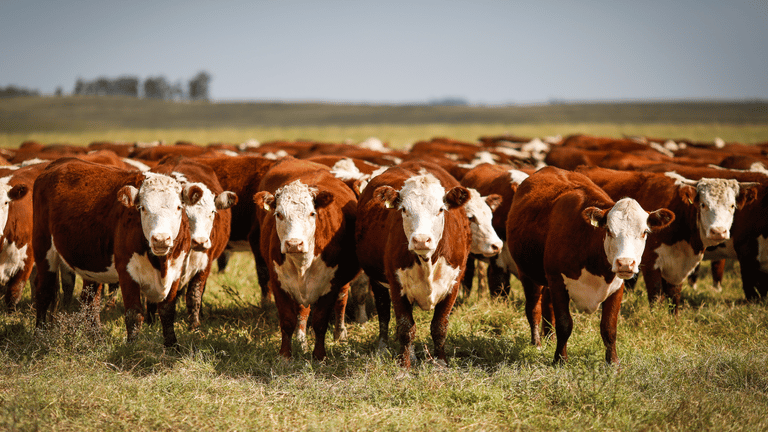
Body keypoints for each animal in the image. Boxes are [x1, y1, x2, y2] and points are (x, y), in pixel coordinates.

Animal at [33, 157, 201, 346]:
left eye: (179, 207)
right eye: (142, 208)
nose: (160, 239)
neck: (160, 263)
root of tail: (59, 162)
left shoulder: (176, 272)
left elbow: (167, 311)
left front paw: (172, 346)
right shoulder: (127, 272)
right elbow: (134, 314)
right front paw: (132, 347)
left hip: (92, 262)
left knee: (90, 301)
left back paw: (96, 337)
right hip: (43, 248)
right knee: (44, 291)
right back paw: (39, 334)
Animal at [356, 165, 474, 368]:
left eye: (440, 209)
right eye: (404, 209)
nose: (421, 240)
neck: (427, 262)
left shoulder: (453, 284)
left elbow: (439, 326)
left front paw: (441, 363)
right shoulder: (397, 285)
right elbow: (405, 327)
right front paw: (404, 366)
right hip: (377, 281)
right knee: (384, 313)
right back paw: (384, 349)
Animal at [508, 167, 676, 362]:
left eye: (645, 232)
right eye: (609, 230)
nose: (625, 263)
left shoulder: (617, 286)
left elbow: (609, 327)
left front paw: (613, 363)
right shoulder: (557, 280)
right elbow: (564, 324)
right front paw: (560, 360)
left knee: (547, 307)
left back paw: (549, 339)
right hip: (528, 274)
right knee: (533, 308)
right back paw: (537, 343)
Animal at [576, 165, 756, 310]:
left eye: (732, 206)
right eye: (703, 204)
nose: (718, 231)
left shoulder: (678, 269)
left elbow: (674, 299)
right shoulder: (651, 263)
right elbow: (656, 297)